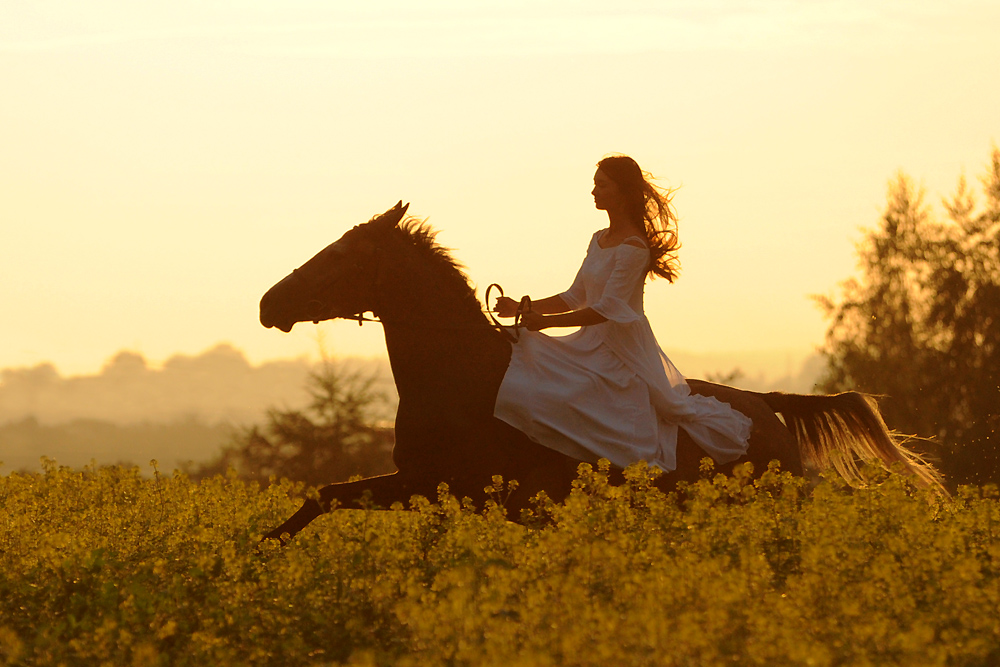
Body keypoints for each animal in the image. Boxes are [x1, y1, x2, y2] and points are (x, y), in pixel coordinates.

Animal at [256, 202, 936, 544]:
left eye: (342, 253)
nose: (268, 304)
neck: (460, 378)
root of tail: (767, 405)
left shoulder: (443, 485)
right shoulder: (425, 485)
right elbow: (323, 495)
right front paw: (263, 551)